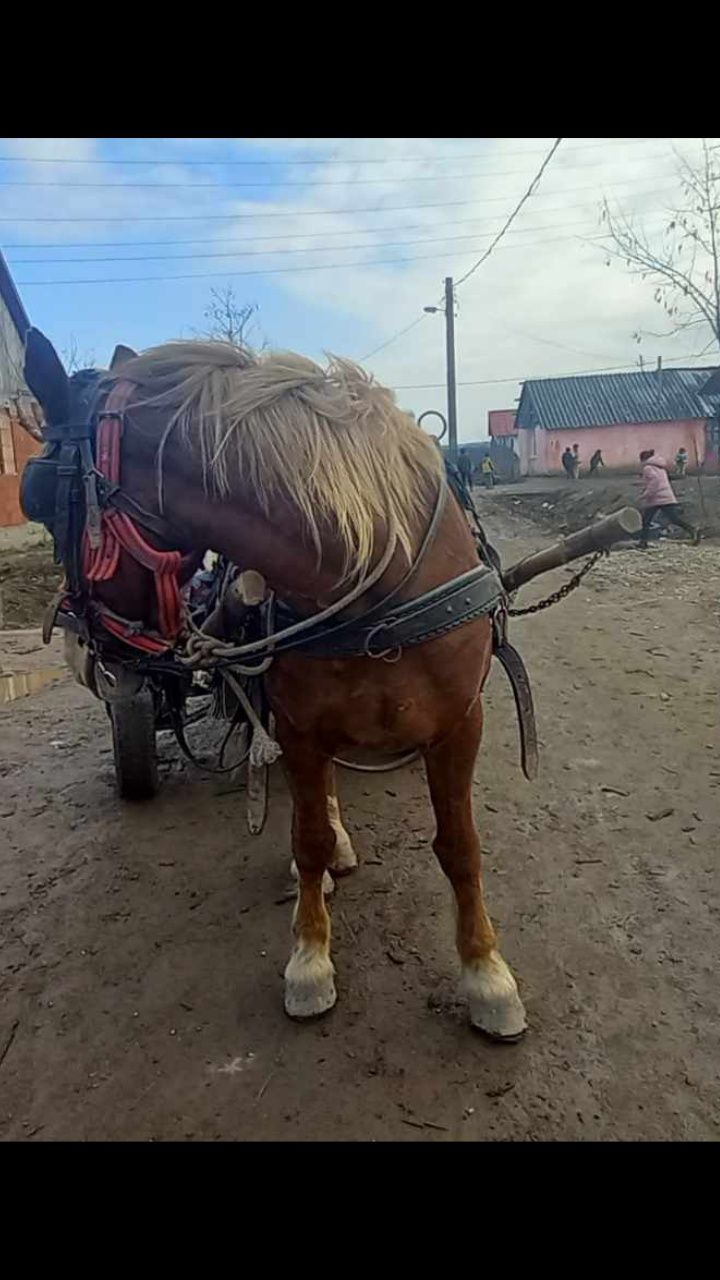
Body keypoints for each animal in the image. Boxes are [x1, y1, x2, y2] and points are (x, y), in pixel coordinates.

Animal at [22, 335, 527, 1044]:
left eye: (38, 499)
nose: (78, 653)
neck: (374, 577)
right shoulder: (300, 725)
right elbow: (307, 839)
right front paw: (311, 961)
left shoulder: (459, 724)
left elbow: (460, 848)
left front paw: (486, 974)